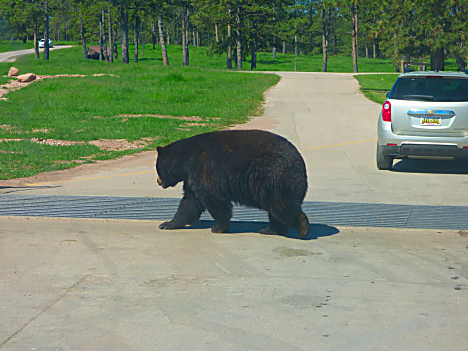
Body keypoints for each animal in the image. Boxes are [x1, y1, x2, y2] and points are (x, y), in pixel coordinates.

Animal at [156, 129, 310, 239]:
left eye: (157, 168)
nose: (158, 181)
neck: (186, 158)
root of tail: (299, 162)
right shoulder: (191, 177)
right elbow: (190, 202)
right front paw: (168, 224)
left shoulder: (202, 169)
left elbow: (213, 198)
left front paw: (219, 227)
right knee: (277, 208)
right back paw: (270, 230)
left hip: (273, 176)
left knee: (280, 204)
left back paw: (302, 227)